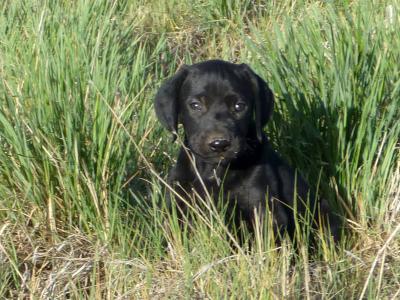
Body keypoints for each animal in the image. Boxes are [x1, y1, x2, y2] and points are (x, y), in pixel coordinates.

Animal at [155, 59, 340, 241]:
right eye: (195, 105)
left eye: (239, 106)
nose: (219, 144)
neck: (214, 171)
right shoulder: (177, 203)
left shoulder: (264, 211)